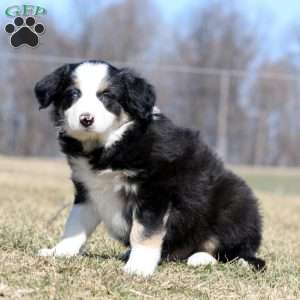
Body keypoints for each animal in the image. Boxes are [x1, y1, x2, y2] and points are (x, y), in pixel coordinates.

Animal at [35, 60, 264, 276]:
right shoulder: (88, 190)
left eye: (107, 95)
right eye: (73, 93)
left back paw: (202, 258)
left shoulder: (154, 191)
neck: (111, 143)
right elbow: (75, 225)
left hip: (236, 202)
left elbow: (144, 231)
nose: (86, 119)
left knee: (237, 253)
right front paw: (59, 251)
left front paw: (139, 267)